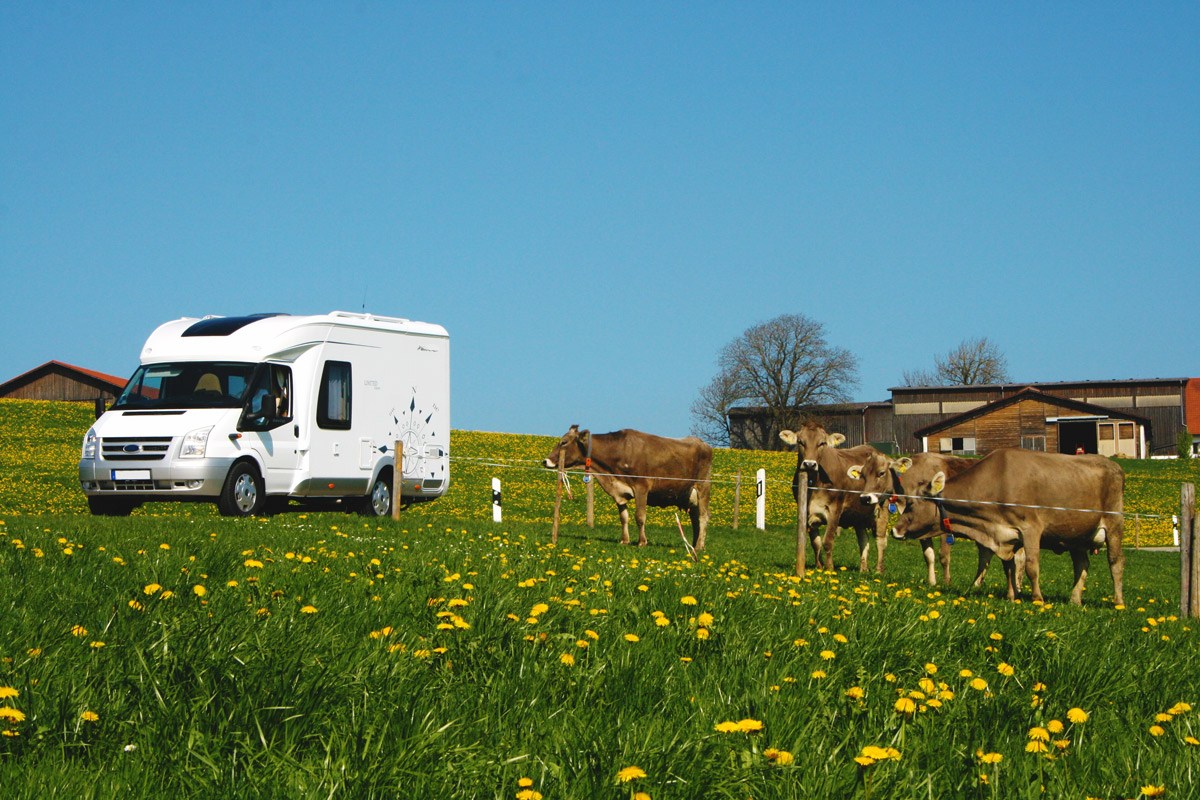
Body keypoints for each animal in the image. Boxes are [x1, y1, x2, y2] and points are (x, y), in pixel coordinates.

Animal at [544, 424, 710, 551]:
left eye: (564, 442)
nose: (545, 461)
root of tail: (702, 443)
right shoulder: (619, 492)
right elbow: (623, 517)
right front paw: (625, 540)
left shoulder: (641, 487)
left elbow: (640, 517)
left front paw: (642, 542)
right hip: (689, 495)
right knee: (695, 518)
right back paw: (694, 544)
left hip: (703, 486)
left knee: (703, 516)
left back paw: (699, 547)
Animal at [777, 422, 892, 573]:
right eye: (800, 442)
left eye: (822, 443)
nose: (809, 464)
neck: (815, 484)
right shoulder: (806, 510)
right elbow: (815, 543)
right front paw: (819, 566)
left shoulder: (835, 510)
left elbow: (827, 541)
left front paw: (829, 568)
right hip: (858, 514)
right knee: (863, 540)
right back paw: (863, 569)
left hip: (882, 508)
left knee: (881, 539)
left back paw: (879, 570)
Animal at [854, 453, 1022, 592]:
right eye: (863, 475)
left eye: (881, 473)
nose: (865, 498)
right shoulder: (920, 528)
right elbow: (928, 555)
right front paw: (932, 582)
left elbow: (944, 556)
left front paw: (947, 582)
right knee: (987, 554)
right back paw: (976, 585)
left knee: (1018, 557)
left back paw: (1017, 586)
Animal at [892, 448, 1123, 604]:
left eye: (912, 504)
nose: (895, 530)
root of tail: (1112, 464)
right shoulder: (1006, 535)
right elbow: (1008, 567)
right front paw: (1012, 596)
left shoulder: (1031, 529)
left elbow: (1031, 566)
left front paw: (1037, 598)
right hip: (1076, 536)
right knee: (1081, 565)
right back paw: (1074, 600)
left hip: (1114, 524)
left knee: (1116, 562)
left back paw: (1118, 602)